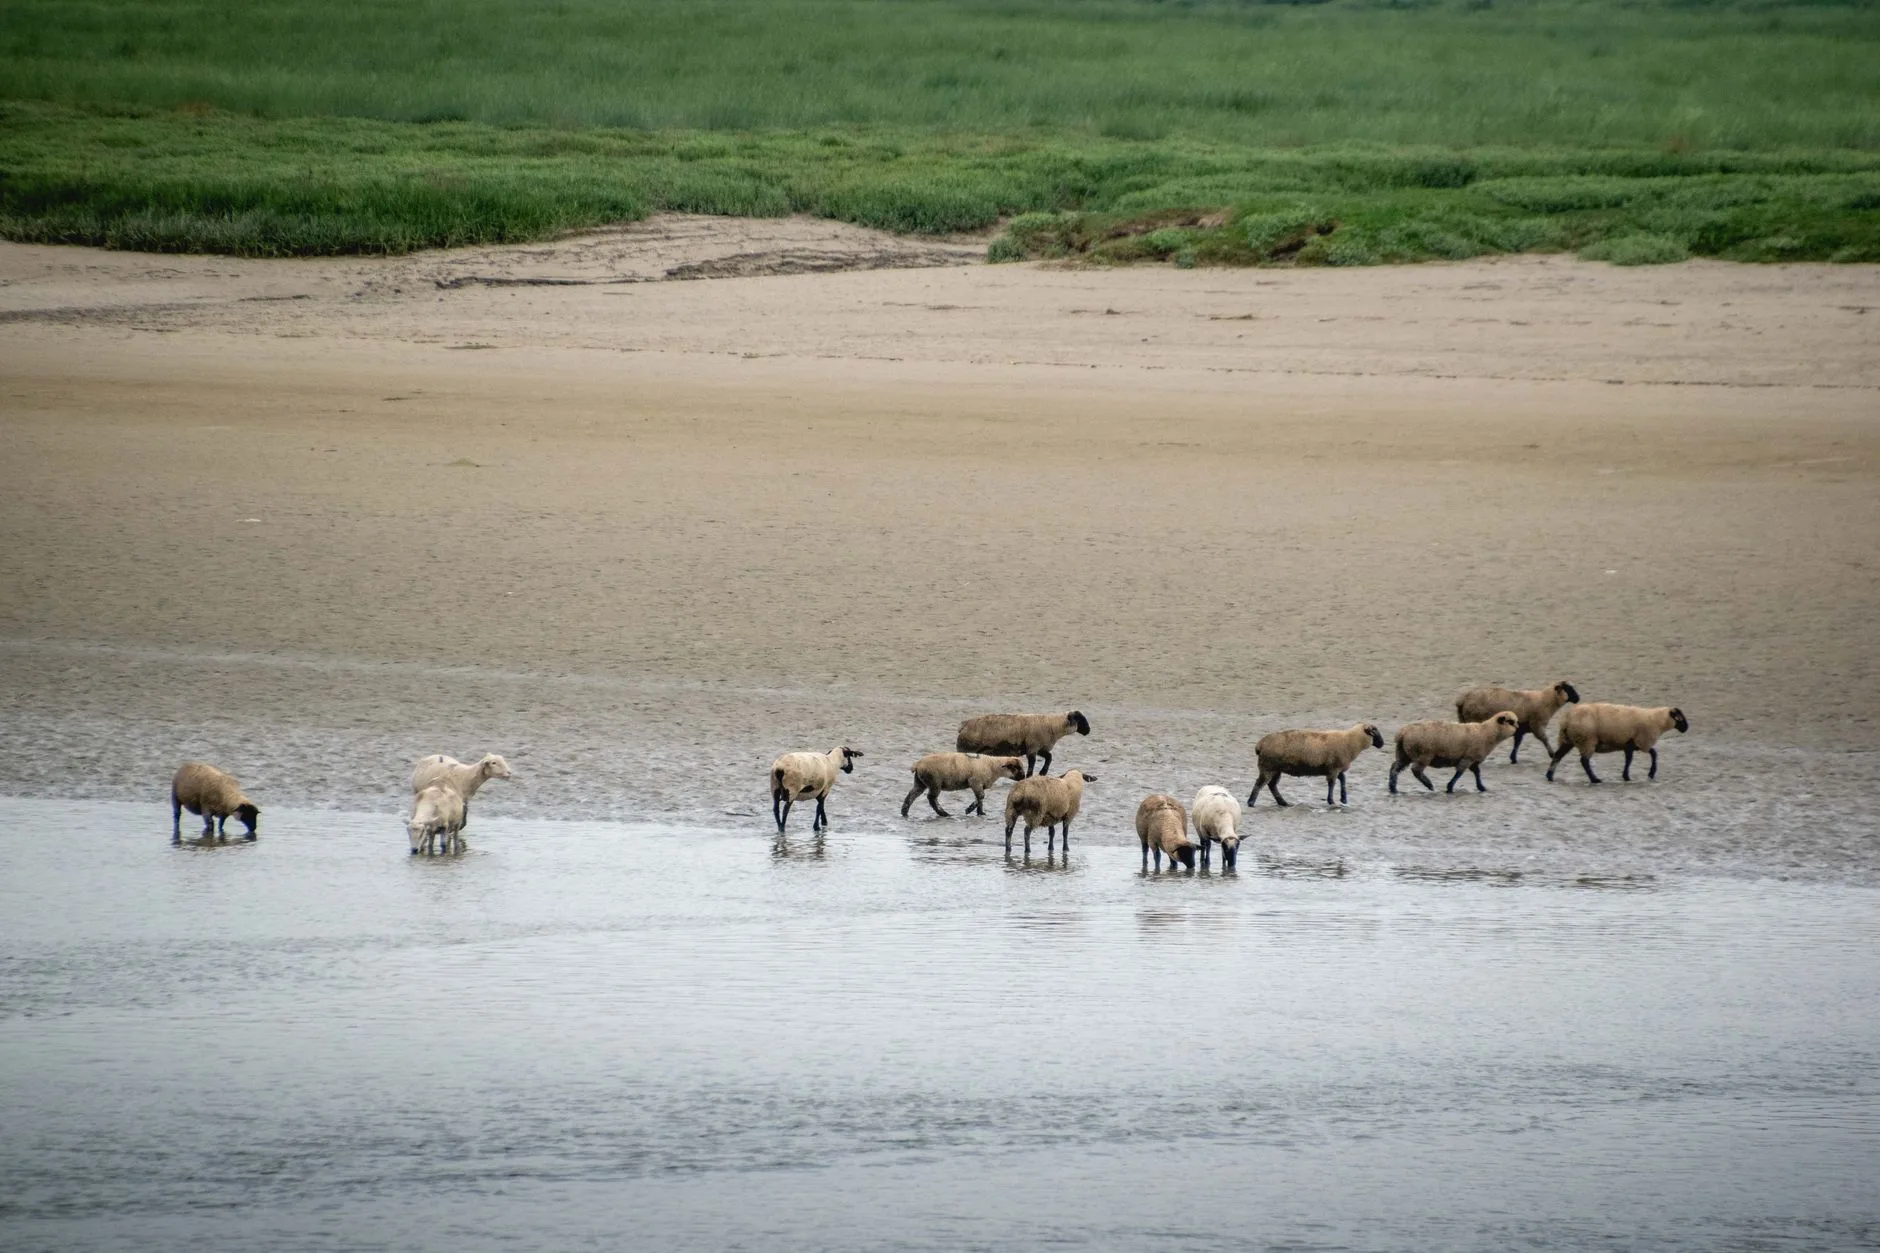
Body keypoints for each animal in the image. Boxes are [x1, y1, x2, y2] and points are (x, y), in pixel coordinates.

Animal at [956, 711, 1090, 777]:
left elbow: (1049, 757)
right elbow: (1032, 763)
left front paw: (1042, 773)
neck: (1052, 725)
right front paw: (1029, 776)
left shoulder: (1039, 747)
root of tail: (964, 725)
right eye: (1080, 719)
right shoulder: (1032, 747)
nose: (1088, 731)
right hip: (966, 749)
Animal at [1249, 723, 1385, 807]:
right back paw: (1251, 803)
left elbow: (1343, 780)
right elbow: (1332, 784)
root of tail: (1260, 744)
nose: (1382, 744)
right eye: (1374, 732)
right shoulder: (1333, 768)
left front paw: (1343, 799)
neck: (1351, 741)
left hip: (1276, 769)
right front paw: (1331, 801)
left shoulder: (1335, 768)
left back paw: (1283, 803)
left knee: (1272, 785)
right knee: (1259, 784)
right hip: (1268, 767)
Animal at [1389, 712, 1520, 795]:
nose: (1519, 729)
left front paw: (1481, 787)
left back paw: (1393, 788)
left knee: (1394, 768)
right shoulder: (1467, 758)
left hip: (1404, 753)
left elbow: (1477, 772)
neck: (1487, 733)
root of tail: (1403, 733)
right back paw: (1429, 785)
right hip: (1423, 754)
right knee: (1416, 770)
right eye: (1511, 722)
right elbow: (1459, 773)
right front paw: (1450, 788)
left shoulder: (1473, 760)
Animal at [1547, 703, 1689, 784]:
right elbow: (1654, 754)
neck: (1657, 720)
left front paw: (1626, 776)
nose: (1686, 728)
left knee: (1557, 756)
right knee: (1584, 761)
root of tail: (1567, 720)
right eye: (1679, 717)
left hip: (1567, 740)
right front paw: (1650, 774)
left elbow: (1629, 760)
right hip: (1587, 740)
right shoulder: (1642, 741)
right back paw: (1595, 779)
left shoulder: (1629, 744)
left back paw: (1550, 776)